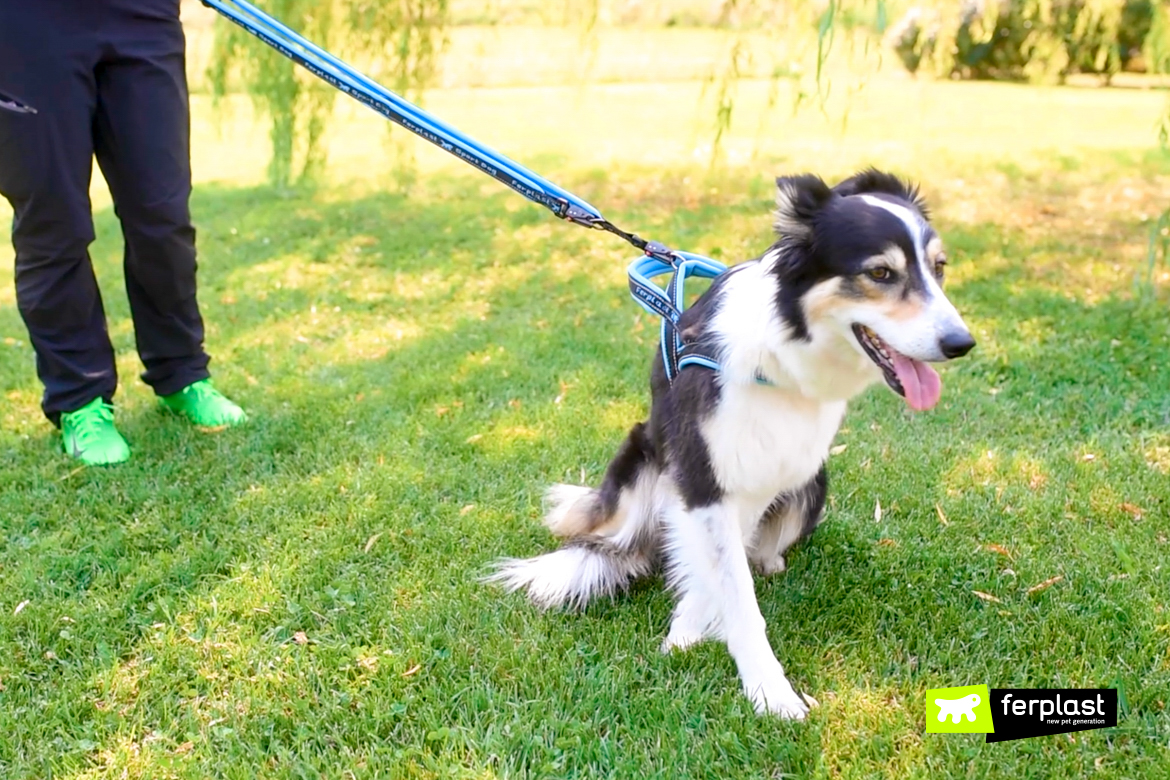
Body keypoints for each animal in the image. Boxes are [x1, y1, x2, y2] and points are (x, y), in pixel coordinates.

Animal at [493, 169, 978, 720]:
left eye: (939, 268)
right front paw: (768, 690)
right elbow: (732, 589)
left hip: (813, 480)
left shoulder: (761, 474)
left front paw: (693, 628)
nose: (961, 344)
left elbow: (722, 573)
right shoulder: (702, 473)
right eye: (880, 272)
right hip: (640, 459)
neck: (780, 356)